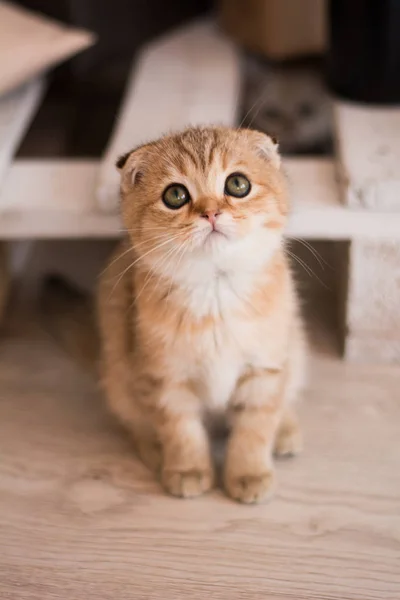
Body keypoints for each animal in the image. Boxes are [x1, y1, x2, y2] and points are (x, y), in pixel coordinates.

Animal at [97, 127, 306, 506]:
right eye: (175, 195)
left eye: (237, 184)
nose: (210, 213)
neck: (215, 290)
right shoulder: (166, 377)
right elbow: (182, 430)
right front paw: (188, 470)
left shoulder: (265, 367)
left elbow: (254, 427)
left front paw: (249, 473)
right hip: (118, 376)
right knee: (136, 421)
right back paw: (155, 450)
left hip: (295, 350)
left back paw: (286, 430)